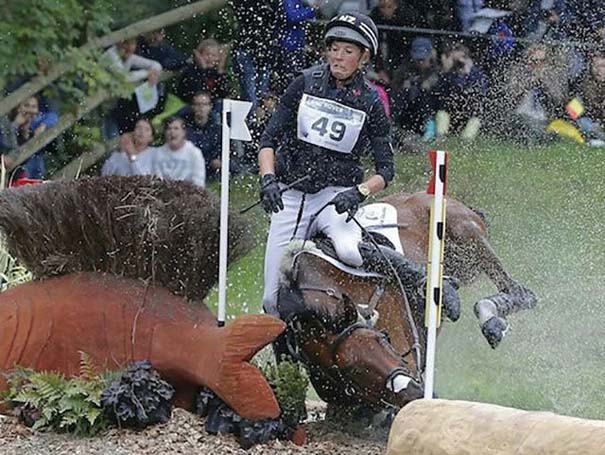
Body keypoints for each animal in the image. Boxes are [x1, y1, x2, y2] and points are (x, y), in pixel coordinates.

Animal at [276, 192, 536, 414]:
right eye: (351, 372)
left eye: (382, 339)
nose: (416, 394)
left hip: (467, 235)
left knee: (521, 292)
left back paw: (487, 316)